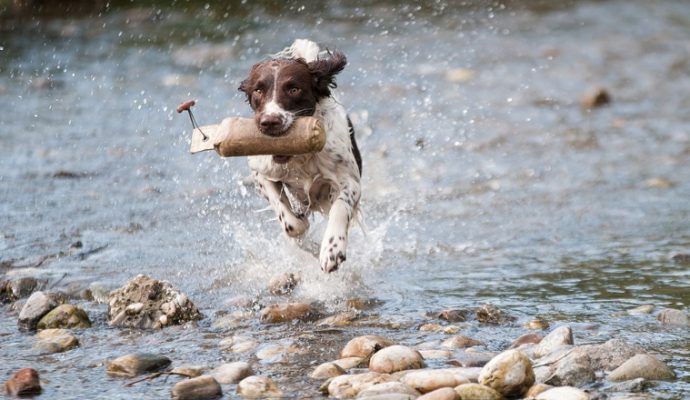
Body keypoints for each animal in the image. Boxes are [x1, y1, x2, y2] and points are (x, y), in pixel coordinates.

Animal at [238, 39, 360, 272]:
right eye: (258, 90)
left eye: (294, 89)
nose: (269, 122)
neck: (299, 157)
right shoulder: (261, 172)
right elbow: (290, 222)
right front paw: (303, 231)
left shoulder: (350, 181)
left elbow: (341, 207)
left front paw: (332, 250)